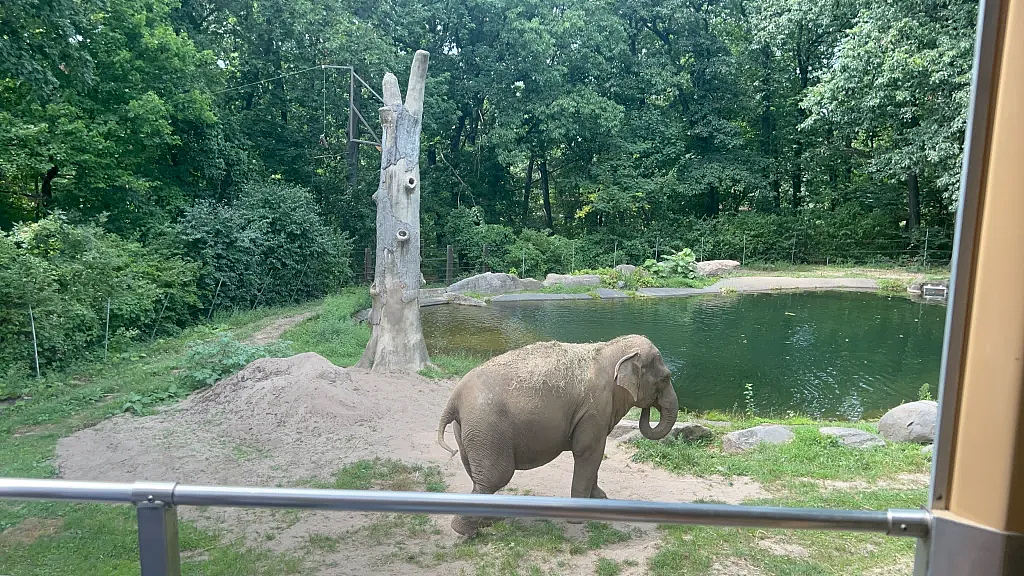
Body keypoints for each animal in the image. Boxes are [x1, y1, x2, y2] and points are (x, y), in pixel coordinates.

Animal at [436, 334, 678, 536]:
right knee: (494, 477)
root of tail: (454, 399)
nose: (649, 408)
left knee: (476, 473)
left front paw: (602, 500)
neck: (610, 349)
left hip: (469, 431)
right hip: (486, 428)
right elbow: (588, 452)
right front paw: (580, 520)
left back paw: (488, 522)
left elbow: (594, 456)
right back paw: (466, 531)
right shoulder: (594, 409)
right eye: (666, 378)